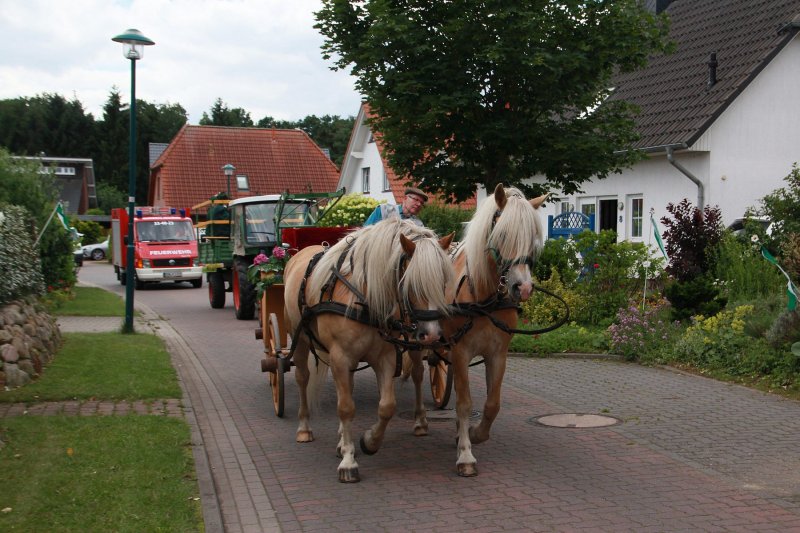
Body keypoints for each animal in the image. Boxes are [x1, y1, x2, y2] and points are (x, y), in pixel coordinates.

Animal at [284, 217, 454, 482]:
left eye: (443, 282)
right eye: (411, 283)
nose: (433, 334)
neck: (364, 297)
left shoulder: (384, 358)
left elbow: (387, 406)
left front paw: (368, 441)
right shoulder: (340, 358)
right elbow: (345, 408)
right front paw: (348, 462)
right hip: (299, 339)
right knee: (303, 378)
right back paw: (304, 428)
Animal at [412, 185, 552, 476]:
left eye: (533, 238)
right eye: (503, 234)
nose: (523, 288)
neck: (484, 296)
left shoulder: (497, 354)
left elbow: (492, 403)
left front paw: (474, 434)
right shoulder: (461, 351)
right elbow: (465, 403)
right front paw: (465, 454)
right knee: (418, 374)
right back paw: (420, 421)